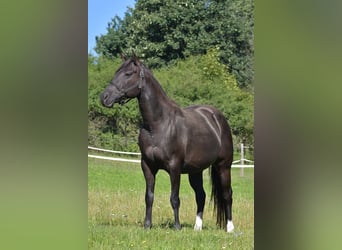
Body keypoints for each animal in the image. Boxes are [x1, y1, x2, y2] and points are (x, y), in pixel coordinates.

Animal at [100, 56, 235, 232]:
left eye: (128, 73)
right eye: (117, 72)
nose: (104, 97)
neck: (158, 125)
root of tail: (217, 117)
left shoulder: (174, 167)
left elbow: (174, 198)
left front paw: (177, 227)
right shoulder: (147, 166)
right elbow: (149, 197)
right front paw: (147, 225)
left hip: (223, 166)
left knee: (227, 194)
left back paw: (230, 228)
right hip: (195, 171)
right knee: (201, 195)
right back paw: (197, 227)